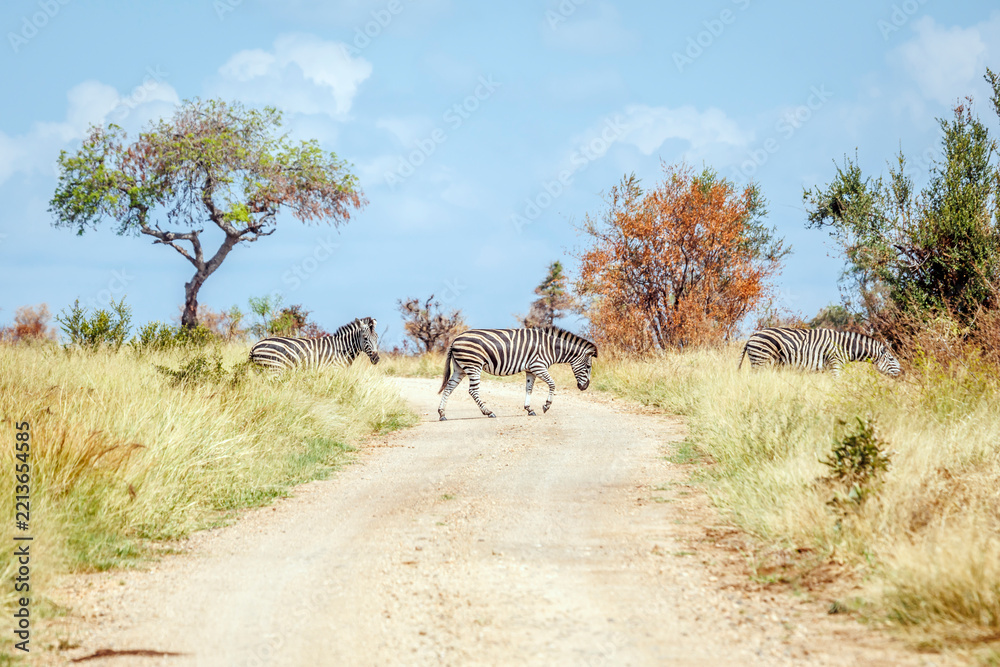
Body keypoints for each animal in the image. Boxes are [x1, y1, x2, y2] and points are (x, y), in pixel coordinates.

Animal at [249, 317, 379, 371]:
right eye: (365, 338)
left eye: (377, 338)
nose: (376, 358)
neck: (342, 348)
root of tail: (255, 346)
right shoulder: (333, 370)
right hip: (274, 368)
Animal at [437, 326, 598, 421]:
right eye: (588, 366)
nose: (584, 387)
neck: (550, 347)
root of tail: (455, 339)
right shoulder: (538, 366)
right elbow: (552, 384)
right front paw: (546, 406)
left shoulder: (531, 370)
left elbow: (529, 389)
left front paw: (529, 409)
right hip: (473, 365)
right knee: (473, 391)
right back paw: (488, 412)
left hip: (460, 368)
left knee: (449, 387)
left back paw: (442, 413)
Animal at [738, 327, 901, 376]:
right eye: (891, 359)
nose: (902, 373)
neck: (845, 347)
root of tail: (752, 336)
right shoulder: (835, 364)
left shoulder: (826, 368)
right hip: (760, 361)